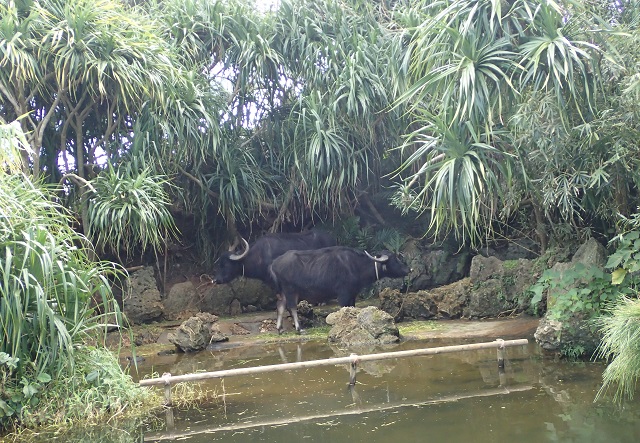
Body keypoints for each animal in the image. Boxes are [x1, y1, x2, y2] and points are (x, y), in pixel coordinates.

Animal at [268, 246, 410, 332]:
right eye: (395, 259)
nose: (409, 269)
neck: (357, 266)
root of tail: (274, 263)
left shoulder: (352, 294)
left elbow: (352, 308)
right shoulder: (343, 294)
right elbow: (344, 308)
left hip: (283, 292)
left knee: (280, 305)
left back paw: (279, 328)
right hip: (290, 290)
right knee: (291, 307)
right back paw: (299, 328)